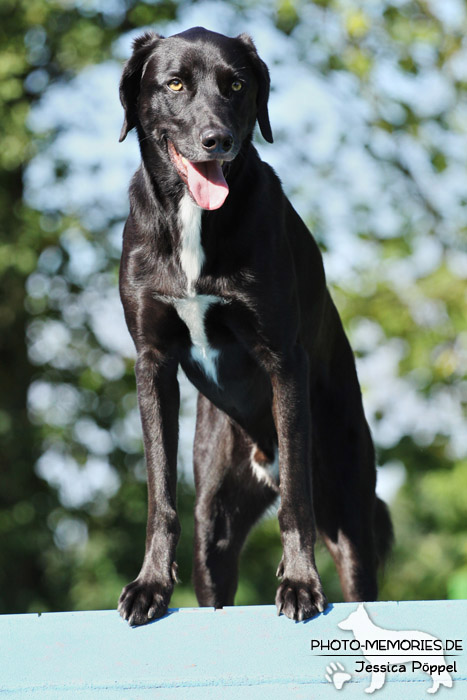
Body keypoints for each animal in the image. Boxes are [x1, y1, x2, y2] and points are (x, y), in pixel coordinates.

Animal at [118, 27, 394, 628]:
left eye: (237, 85)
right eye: (175, 84)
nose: (217, 140)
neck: (194, 221)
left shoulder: (282, 357)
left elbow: (296, 502)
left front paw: (299, 583)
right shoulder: (152, 362)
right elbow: (159, 494)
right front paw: (150, 587)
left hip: (350, 509)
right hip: (215, 527)